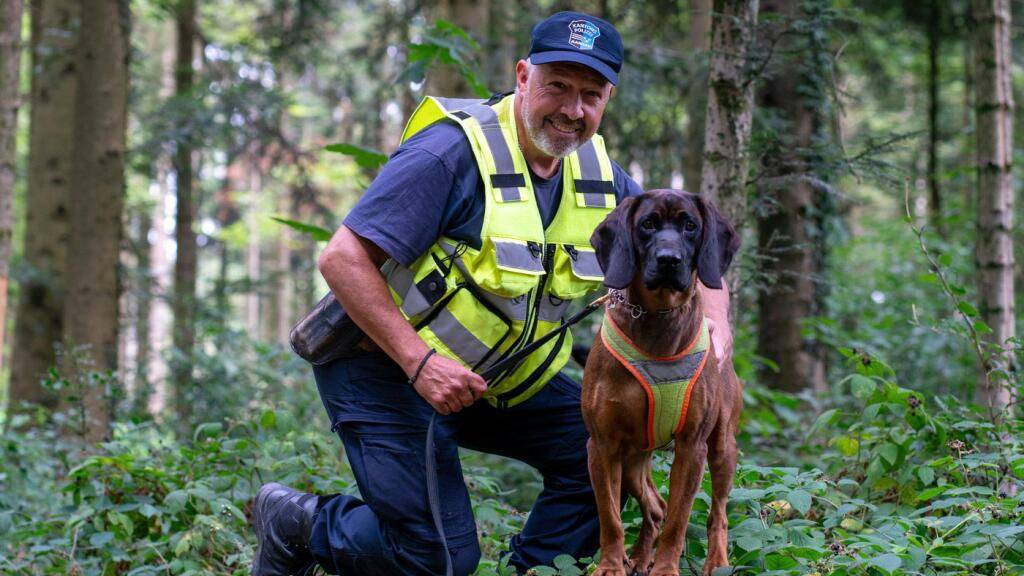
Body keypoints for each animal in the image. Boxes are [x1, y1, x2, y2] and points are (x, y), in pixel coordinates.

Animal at [581, 189, 741, 573]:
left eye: (690, 226)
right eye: (648, 224)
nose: (669, 260)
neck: (656, 317)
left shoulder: (692, 446)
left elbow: (679, 520)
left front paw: (666, 567)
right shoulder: (602, 444)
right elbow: (610, 517)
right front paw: (610, 565)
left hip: (722, 448)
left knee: (717, 513)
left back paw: (716, 560)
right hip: (633, 457)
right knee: (655, 507)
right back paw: (638, 557)